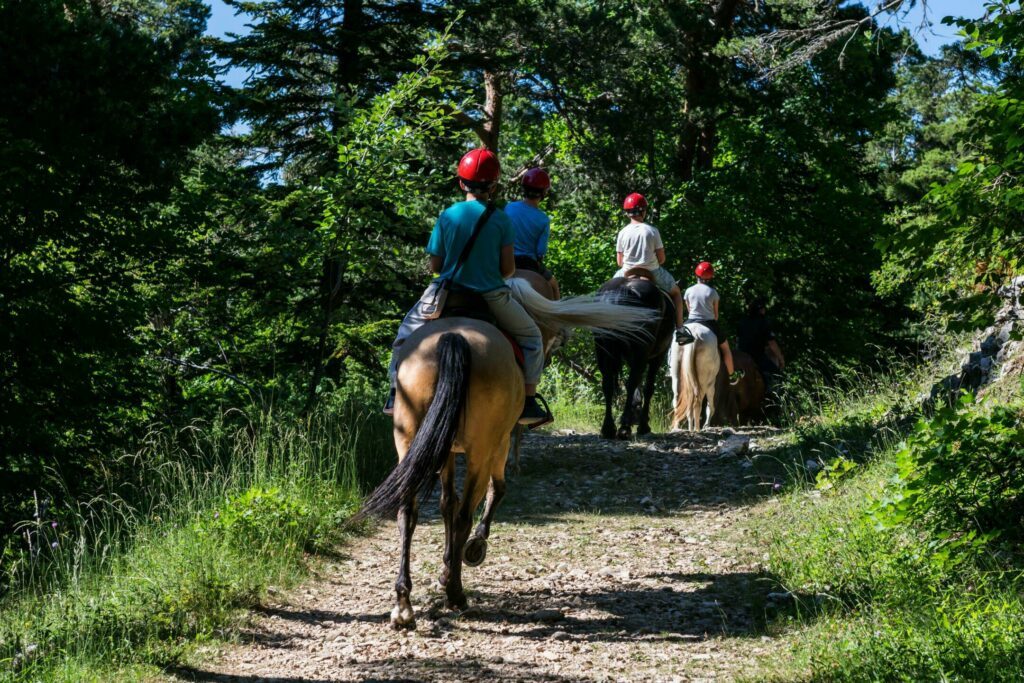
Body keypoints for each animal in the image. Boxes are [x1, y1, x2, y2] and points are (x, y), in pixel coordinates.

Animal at [356, 280, 651, 626]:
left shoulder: (444, 451)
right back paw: (456, 594)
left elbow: (446, 503)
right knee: (465, 513)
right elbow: (496, 490)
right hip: (482, 450)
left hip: (409, 442)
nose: (560, 339)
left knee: (409, 511)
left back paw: (404, 603)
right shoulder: (499, 445)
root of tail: (453, 338)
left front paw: (445, 569)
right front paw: (470, 552)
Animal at [593, 270, 679, 438]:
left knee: (607, 384)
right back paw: (624, 426)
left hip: (602, 350)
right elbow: (647, 387)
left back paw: (608, 428)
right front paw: (643, 424)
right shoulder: (656, 357)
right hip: (641, 351)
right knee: (632, 382)